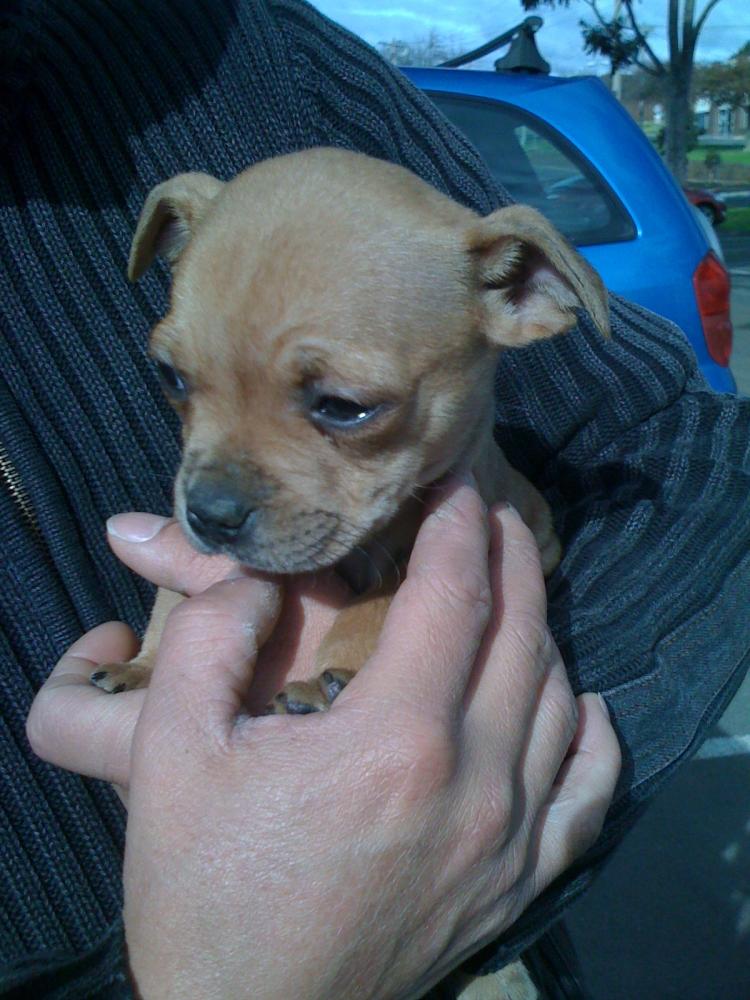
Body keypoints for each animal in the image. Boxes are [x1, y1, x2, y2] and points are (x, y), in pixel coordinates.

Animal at [91, 147, 608, 713]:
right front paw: (145, 665)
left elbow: (382, 598)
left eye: (343, 406)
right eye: (170, 376)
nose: (208, 515)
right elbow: (171, 600)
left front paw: (329, 674)